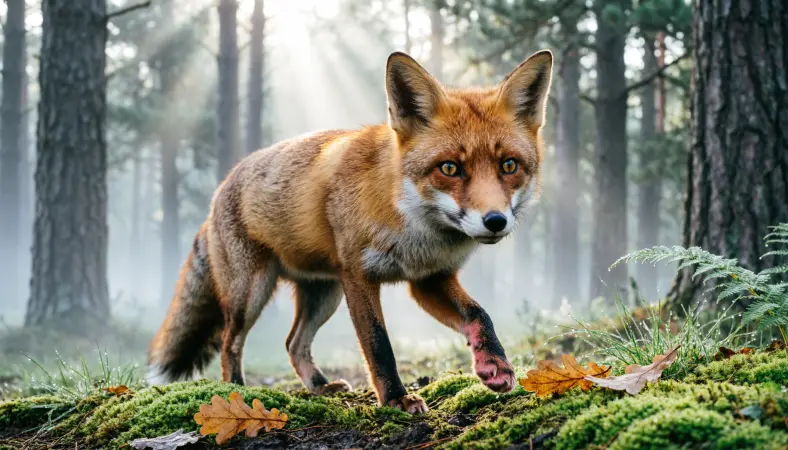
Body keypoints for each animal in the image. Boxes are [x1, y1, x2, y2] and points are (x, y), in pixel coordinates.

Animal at [147, 49, 553, 413]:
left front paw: (494, 365)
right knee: (231, 344)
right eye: (450, 168)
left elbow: (479, 315)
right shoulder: (359, 277)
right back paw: (238, 393)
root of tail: (220, 188)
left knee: (293, 344)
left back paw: (320, 388)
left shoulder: (429, 279)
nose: (495, 221)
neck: (415, 229)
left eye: (509, 165)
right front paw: (396, 400)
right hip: (252, 293)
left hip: (323, 294)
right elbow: (379, 344)